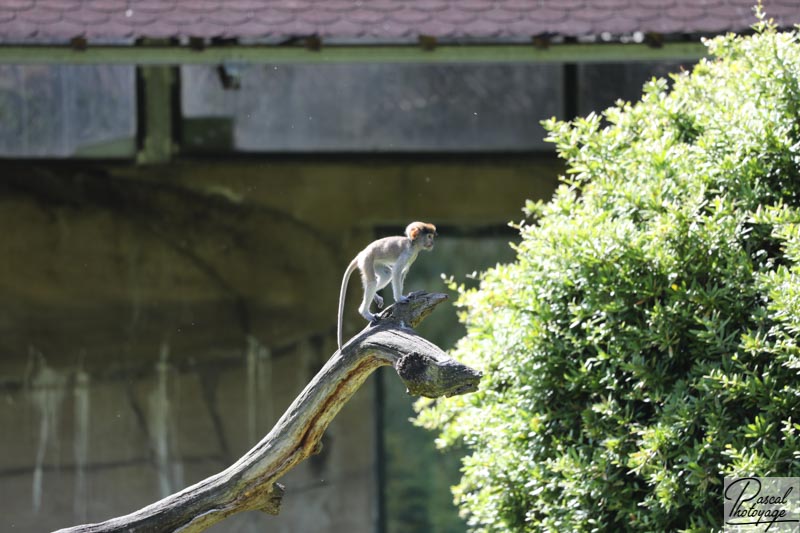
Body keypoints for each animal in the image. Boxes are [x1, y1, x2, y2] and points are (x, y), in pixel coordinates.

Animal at [338, 220, 438, 350]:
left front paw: (406, 295)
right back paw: (365, 312)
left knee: (386, 274)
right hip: (367, 260)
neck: (412, 243)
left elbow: (402, 273)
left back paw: (375, 296)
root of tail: (361, 253)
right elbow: (397, 272)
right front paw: (400, 298)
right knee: (373, 282)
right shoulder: (407, 253)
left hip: (376, 263)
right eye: (429, 236)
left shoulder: (413, 256)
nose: (432, 243)